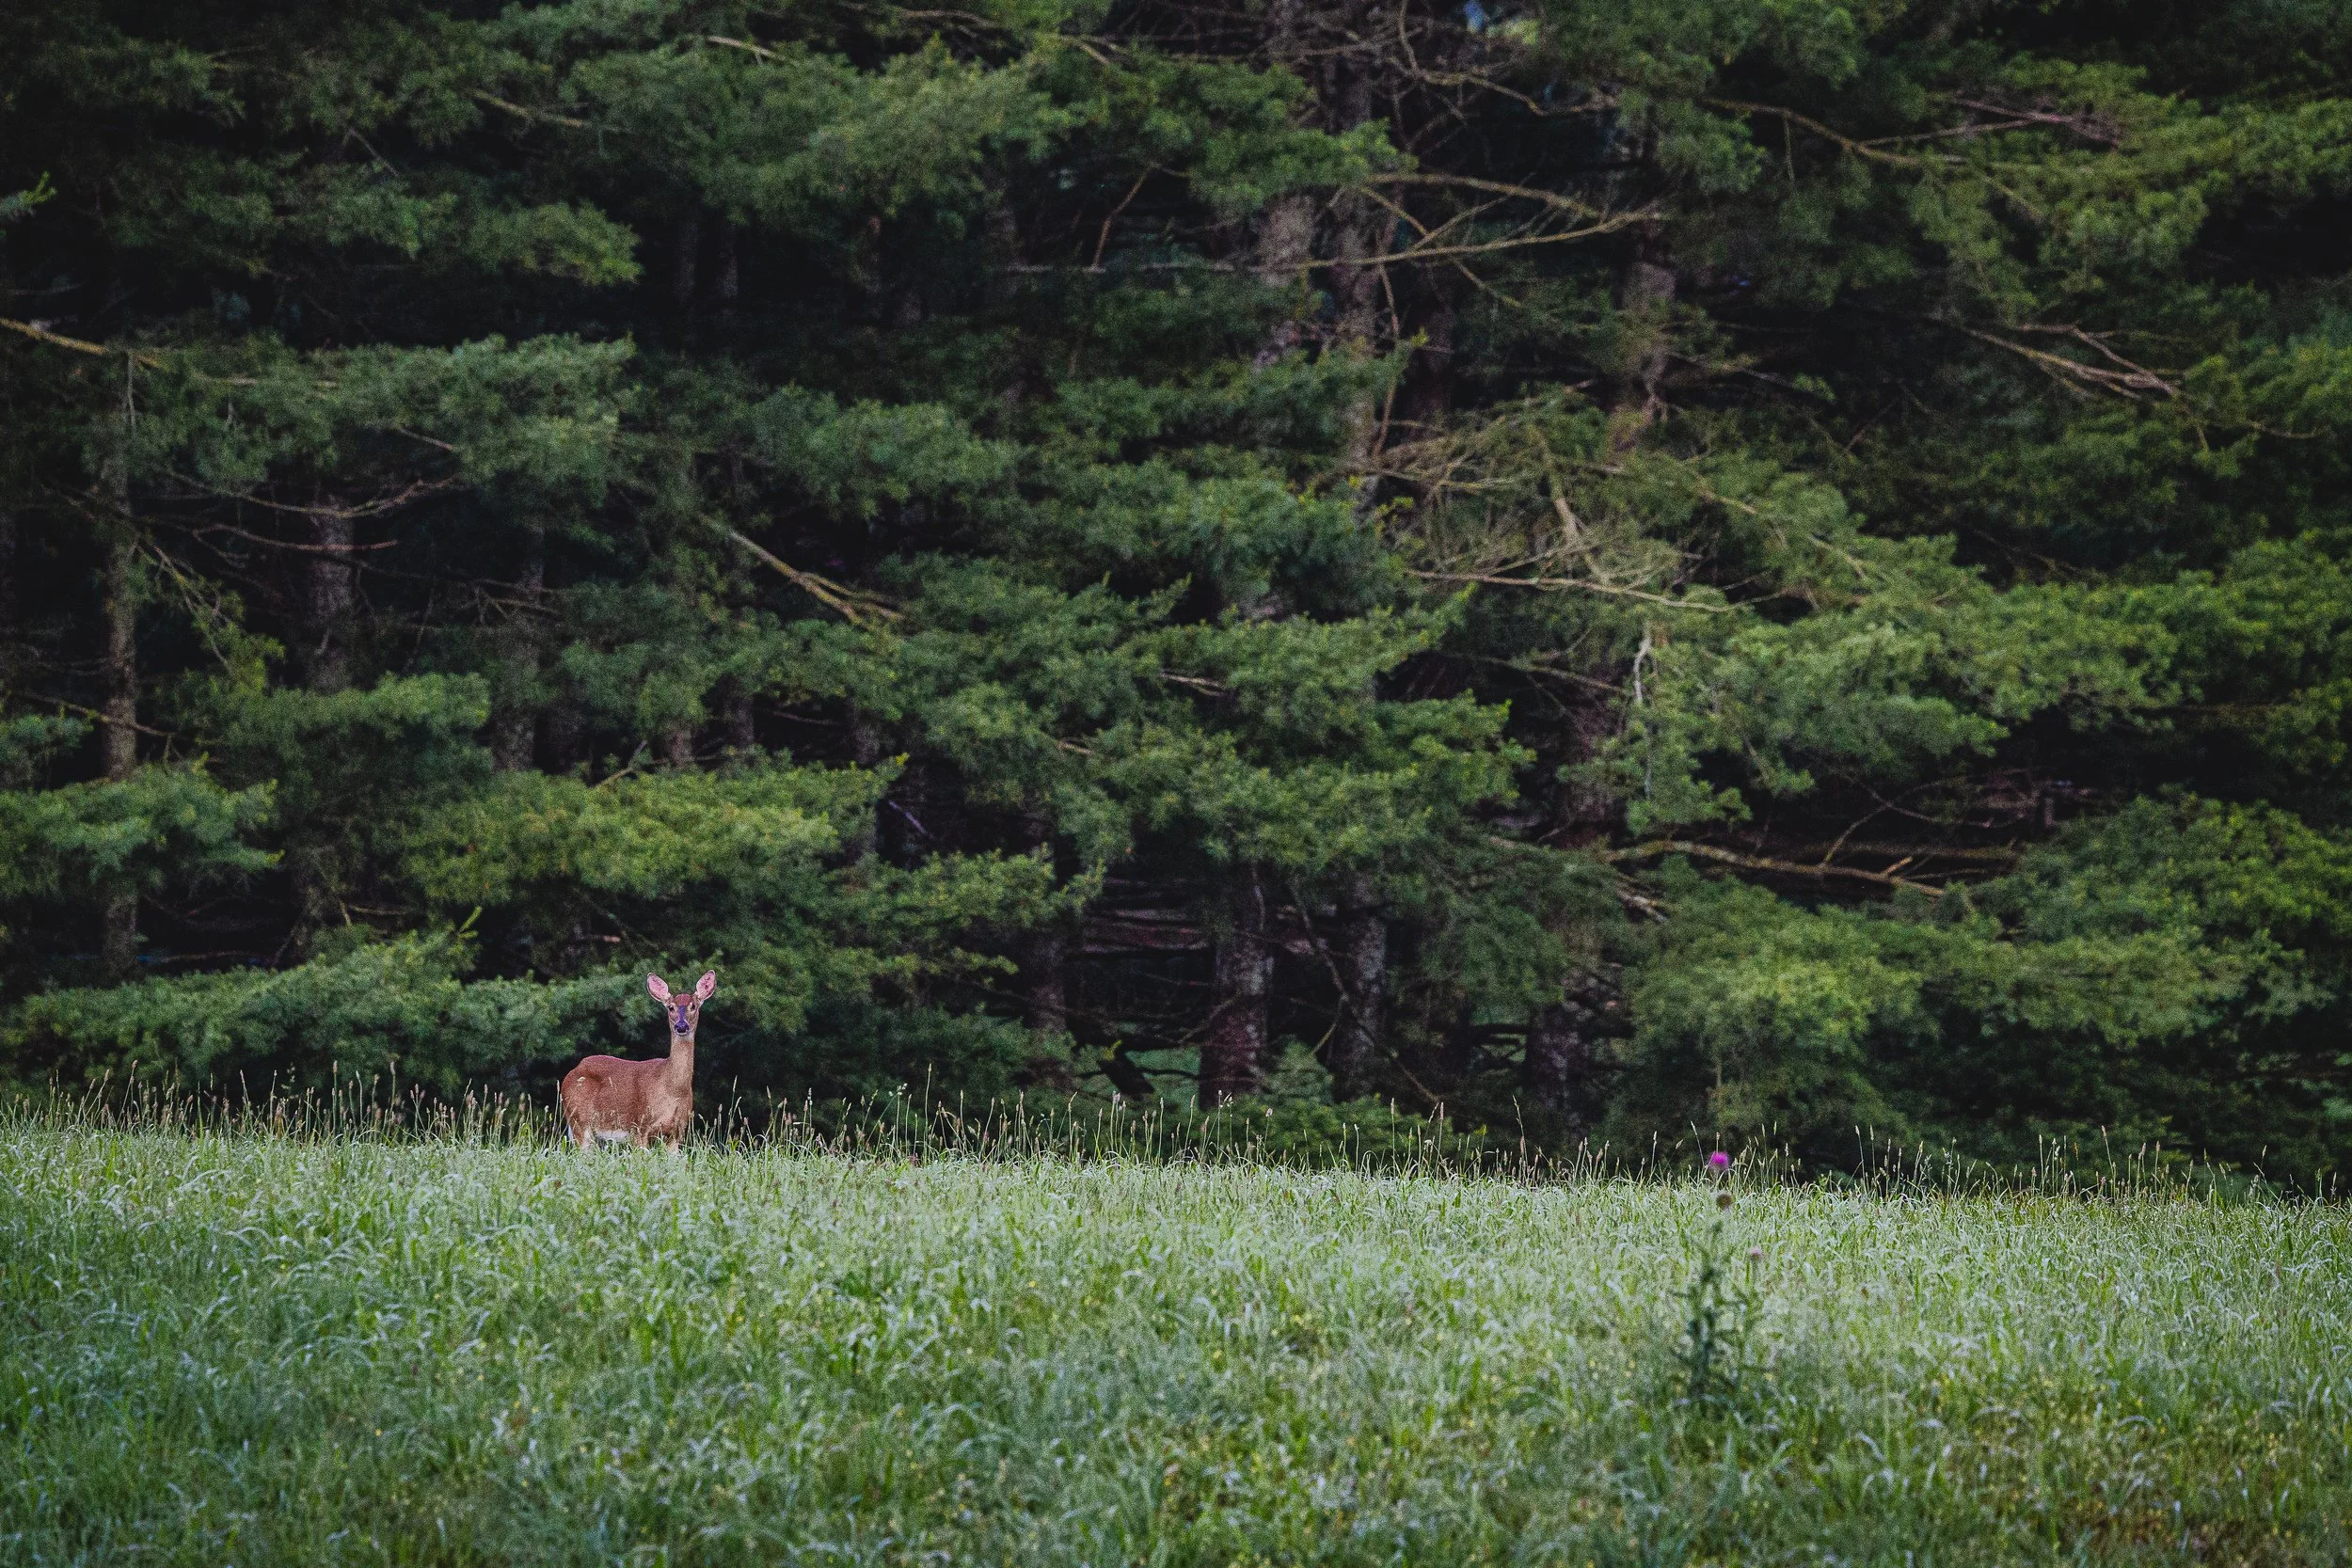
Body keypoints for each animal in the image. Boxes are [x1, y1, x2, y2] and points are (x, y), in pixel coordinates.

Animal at [561, 971, 713, 1151]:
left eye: (693, 1006)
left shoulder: (678, 1131)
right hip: (578, 1119)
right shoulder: (640, 1125)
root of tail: (572, 1072)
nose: (681, 1026)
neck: (673, 1089)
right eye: (671, 1007)